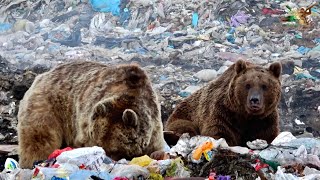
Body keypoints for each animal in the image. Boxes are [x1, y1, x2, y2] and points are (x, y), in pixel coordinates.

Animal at [16, 60, 165, 169]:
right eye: (98, 143)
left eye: (115, 149)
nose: (105, 160)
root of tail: (41, 76)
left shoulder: (154, 126)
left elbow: (155, 148)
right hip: (45, 107)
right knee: (40, 139)